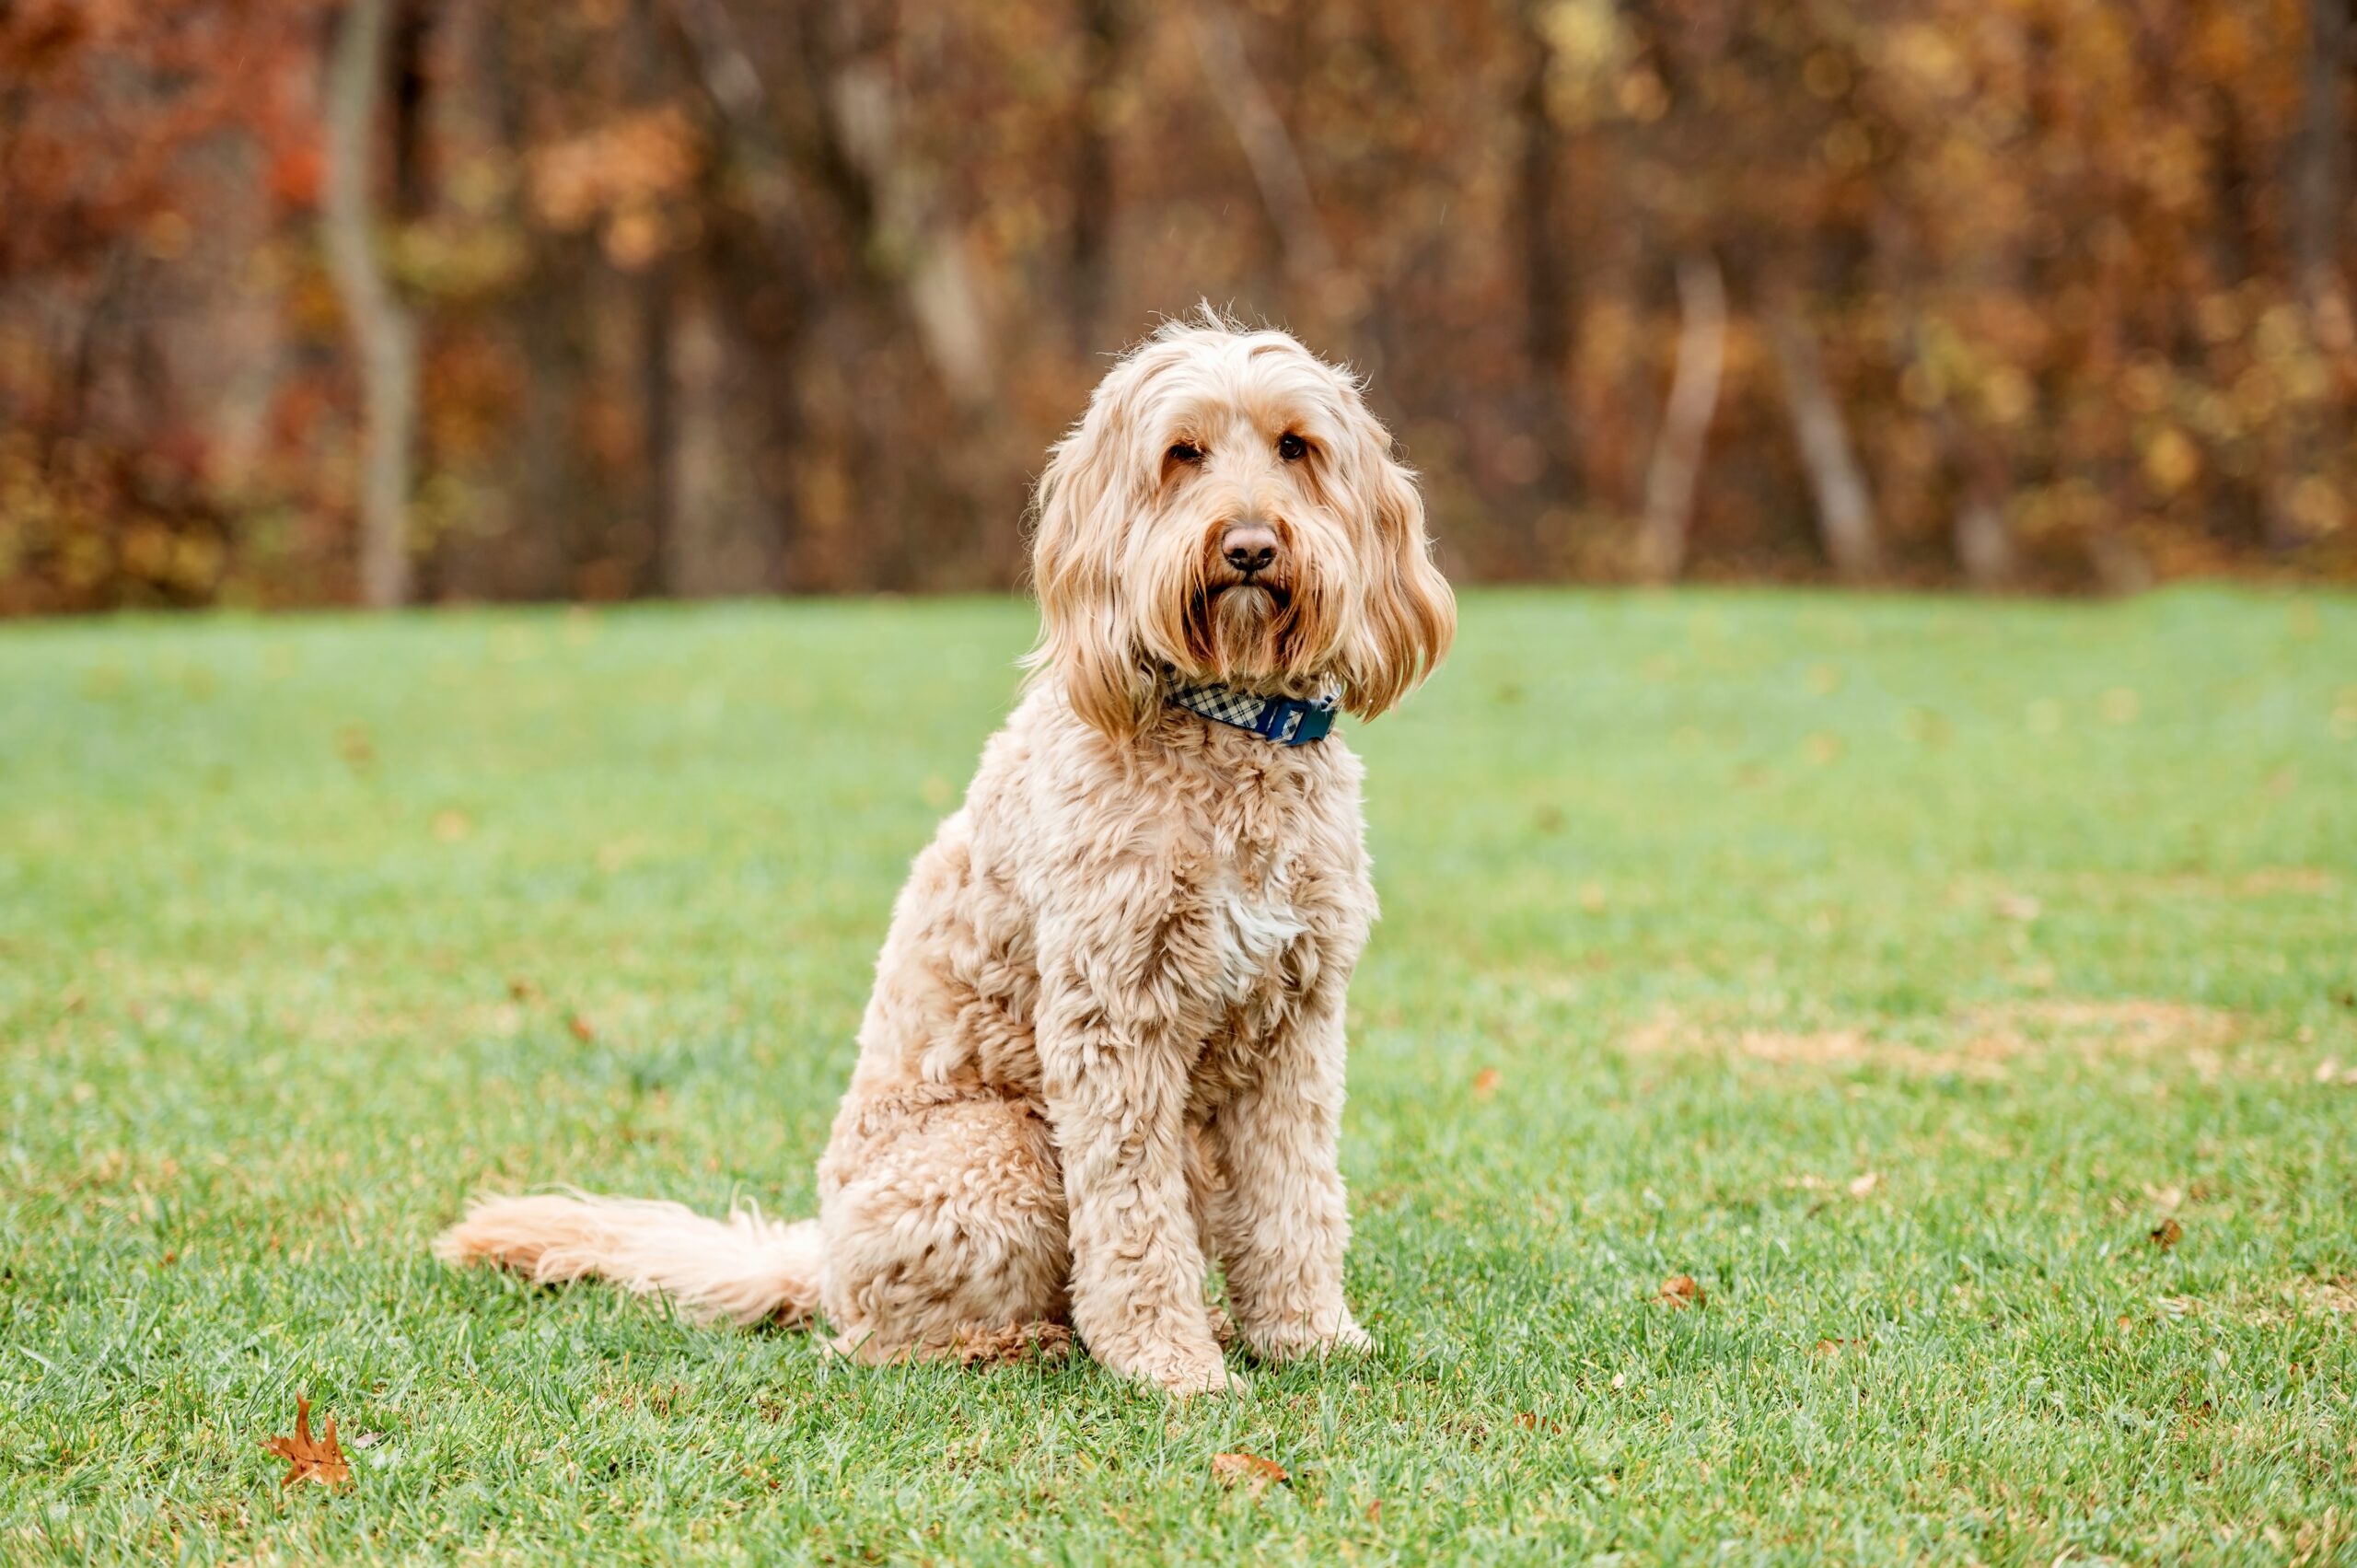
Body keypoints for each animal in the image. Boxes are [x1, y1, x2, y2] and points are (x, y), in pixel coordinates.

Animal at [428, 311, 1451, 1386]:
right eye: (1183, 454)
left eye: (1297, 447)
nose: (1250, 546)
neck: (1229, 727)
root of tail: (816, 1257)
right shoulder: (1113, 1018)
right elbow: (1132, 1216)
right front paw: (1168, 1364)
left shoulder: (1295, 1024)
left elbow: (1297, 1194)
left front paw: (1309, 1336)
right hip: (999, 1145)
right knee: (878, 1338)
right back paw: (1035, 1340)